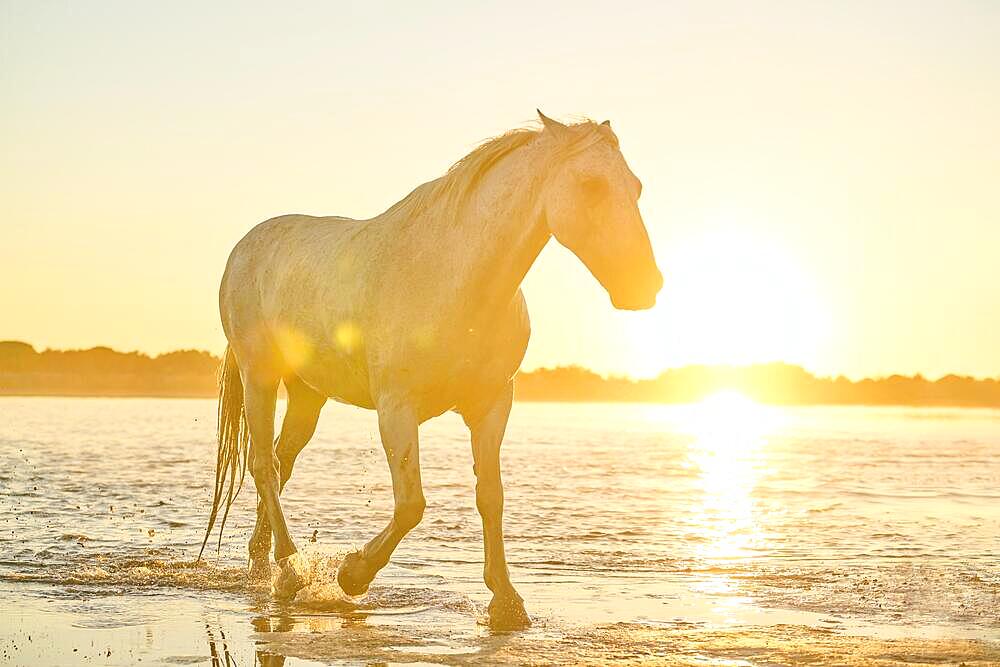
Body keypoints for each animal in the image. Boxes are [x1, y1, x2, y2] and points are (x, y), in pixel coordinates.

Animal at [199, 112, 660, 628]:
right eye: (590, 184)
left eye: (636, 187)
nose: (645, 285)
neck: (455, 281)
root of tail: (244, 248)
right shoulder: (397, 410)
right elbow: (411, 505)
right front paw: (353, 574)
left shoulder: (492, 406)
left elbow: (490, 497)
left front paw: (506, 600)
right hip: (260, 375)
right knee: (263, 463)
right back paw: (291, 569)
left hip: (307, 394)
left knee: (282, 462)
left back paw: (268, 567)